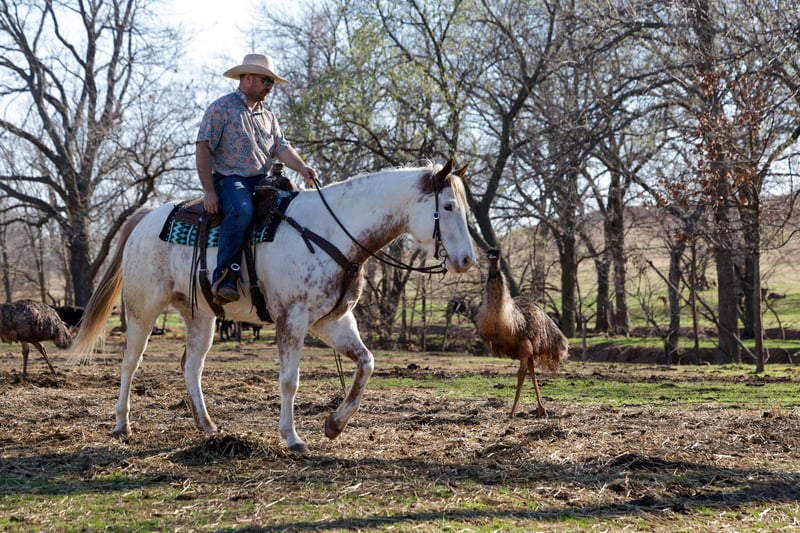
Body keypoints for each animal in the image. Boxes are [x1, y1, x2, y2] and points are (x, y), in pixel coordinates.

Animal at [72, 160, 476, 453]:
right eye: (448, 206)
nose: (468, 260)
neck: (330, 232)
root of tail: (146, 218)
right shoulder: (292, 319)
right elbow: (289, 381)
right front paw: (293, 438)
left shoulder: (333, 321)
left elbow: (366, 364)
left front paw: (334, 424)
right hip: (142, 310)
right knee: (130, 362)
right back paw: (121, 424)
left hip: (200, 317)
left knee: (191, 368)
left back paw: (206, 425)